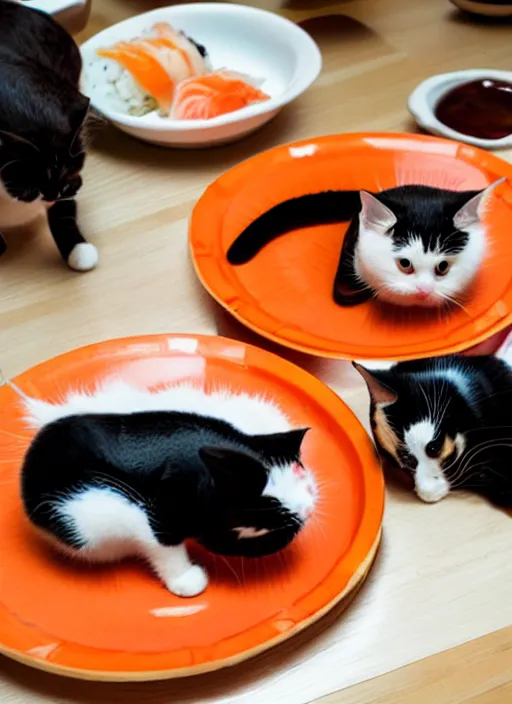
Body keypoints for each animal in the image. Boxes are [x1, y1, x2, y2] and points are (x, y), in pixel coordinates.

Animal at [16, 382, 316, 596]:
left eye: (301, 473)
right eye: (270, 526)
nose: (308, 508)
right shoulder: (153, 516)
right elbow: (162, 544)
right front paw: (186, 580)